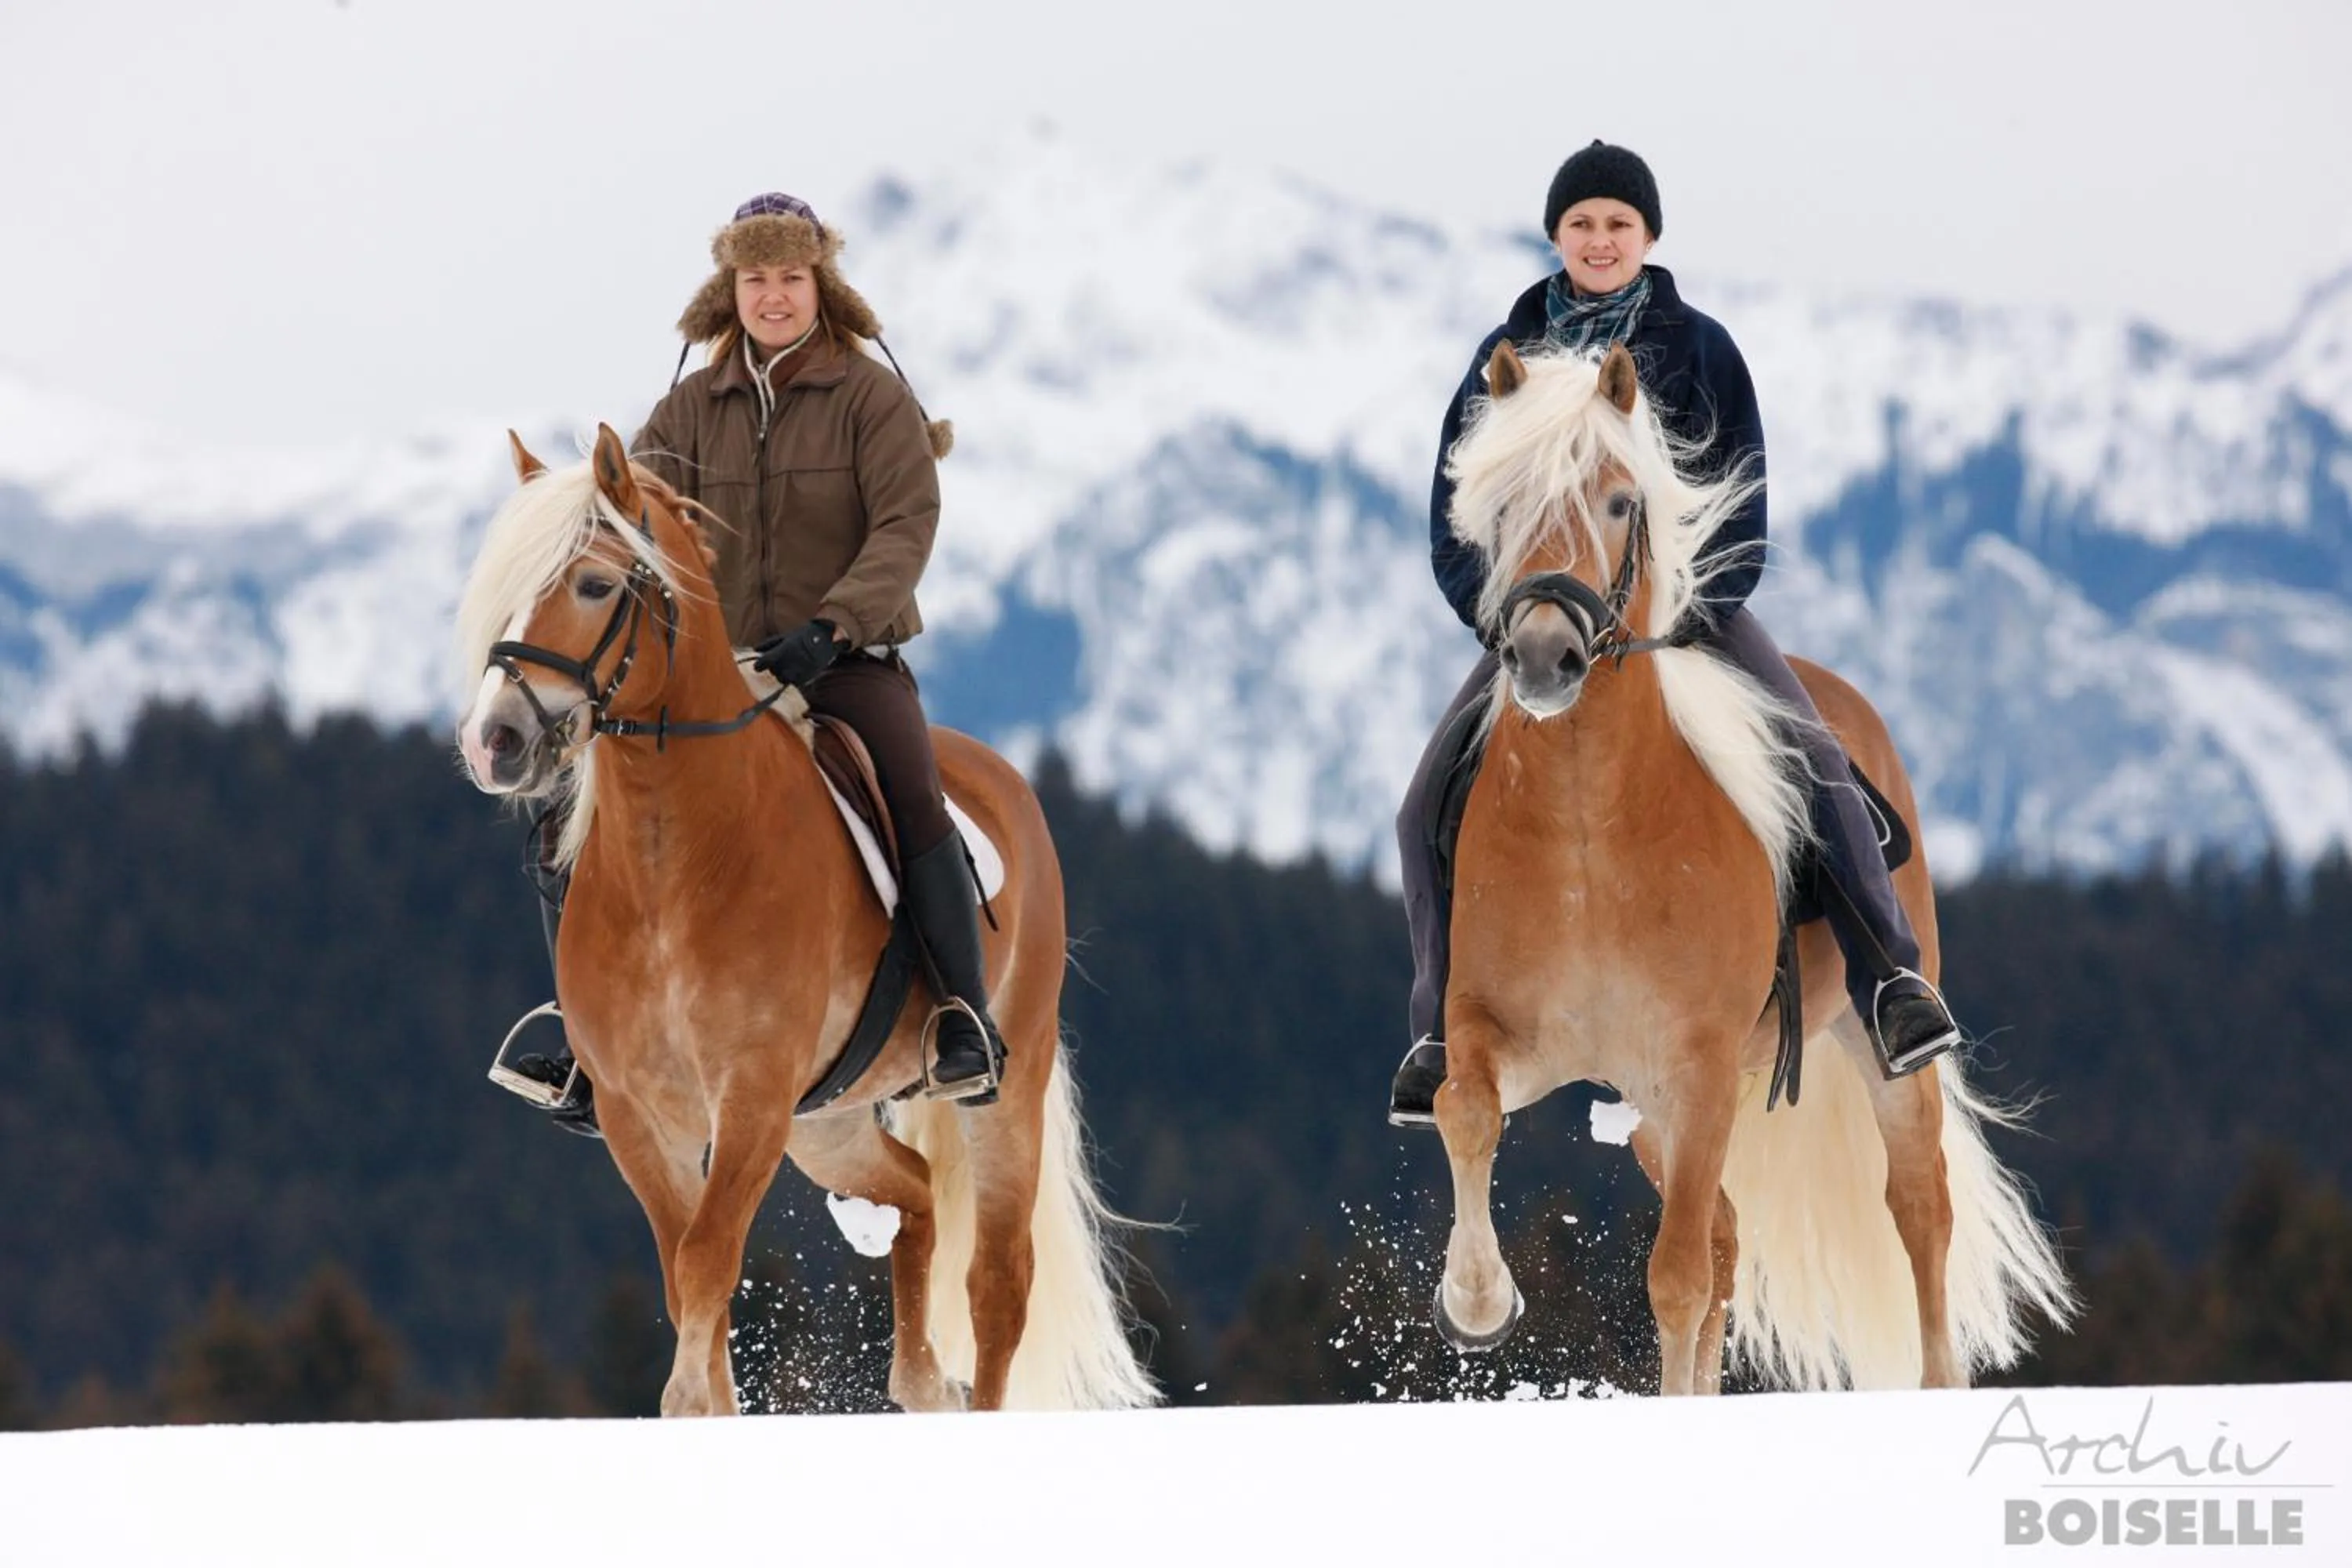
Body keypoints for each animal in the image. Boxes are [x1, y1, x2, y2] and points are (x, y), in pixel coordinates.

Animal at [452, 424, 1157, 1416]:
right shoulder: (640, 1114)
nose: (495, 742)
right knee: (914, 1193)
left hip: (1003, 1085)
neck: (678, 864)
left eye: (593, 584)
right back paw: (919, 1379)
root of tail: (1001, 777)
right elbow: (687, 1278)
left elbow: (707, 1262)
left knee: (998, 1285)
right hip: (829, 1121)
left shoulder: (750, 1101)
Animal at [1426, 341, 2075, 1394]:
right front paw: (1478, 1299)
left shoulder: (1697, 1068)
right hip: (1655, 1111)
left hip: (1869, 1042)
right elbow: (1462, 1110)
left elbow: (1677, 1276)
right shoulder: (1499, 1033)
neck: (1587, 832)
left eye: (1620, 499)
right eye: (1501, 499)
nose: (1545, 655)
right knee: (1730, 1235)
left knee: (1918, 1205)